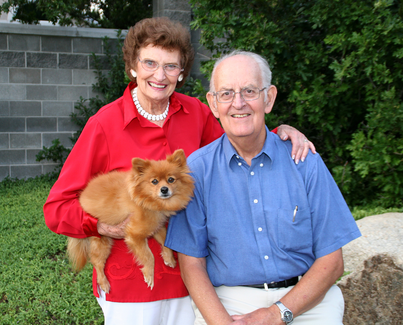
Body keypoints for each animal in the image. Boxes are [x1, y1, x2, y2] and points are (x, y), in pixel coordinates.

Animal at [66, 149, 196, 292]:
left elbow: (165, 241)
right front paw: (149, 275)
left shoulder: (156, 227)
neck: (147, 200)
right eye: (154, 181)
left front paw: (169, 258)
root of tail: (82, 197)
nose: (164, 189)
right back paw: (104, 282)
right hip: (102, 243)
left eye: (171, 179)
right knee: (97, 264)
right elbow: (149, 256)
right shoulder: (135, 235)